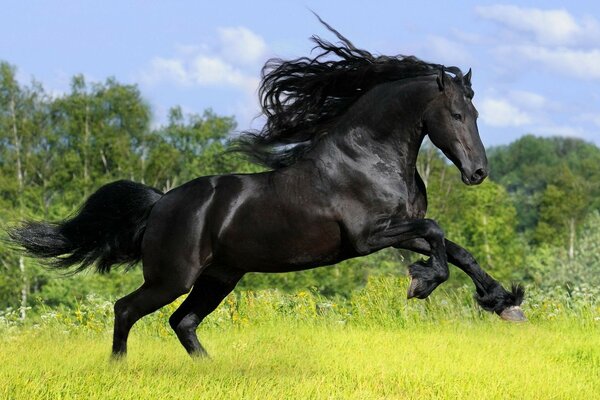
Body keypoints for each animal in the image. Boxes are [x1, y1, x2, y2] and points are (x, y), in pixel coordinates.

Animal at [9, 20, 524, 358]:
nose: (478, 172)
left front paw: (504, 304)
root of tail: (160, 204)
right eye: (456, 114)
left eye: (476, 113)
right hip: (172, 277)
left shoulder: (399, 228)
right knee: (126, 309)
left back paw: (210, 371)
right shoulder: (369, 237)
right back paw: (120, 369)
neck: (367, 157)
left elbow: (457, 249)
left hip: (219, 277)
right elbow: (437, 233)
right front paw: (422, 283)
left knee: (182, 321)